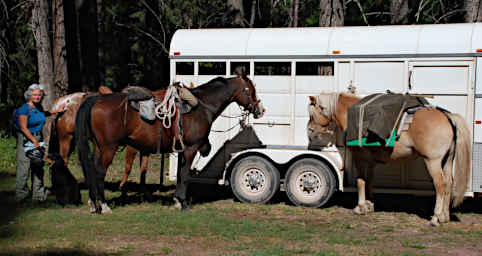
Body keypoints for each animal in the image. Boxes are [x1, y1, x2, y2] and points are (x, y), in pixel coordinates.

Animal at [75, 71, 266, 213]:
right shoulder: (191, 149)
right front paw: (183, 203)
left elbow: (181, 174)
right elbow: (186, 175)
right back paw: (104, 206)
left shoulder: (182, 149)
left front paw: (176, 200)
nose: (260, 110)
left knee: (92, 170)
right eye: (249, 89)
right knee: (100, 173)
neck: (201, 107)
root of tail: (96, 99)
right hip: (109, 148)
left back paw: (93, 204)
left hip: (99, 147)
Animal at [308, 93, 470, 225]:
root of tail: (448, 117)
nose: (310, 132)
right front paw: (370, 205)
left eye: (311, 114)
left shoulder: (360, 158)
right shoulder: (370, 161)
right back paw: (444, 216)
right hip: (447, 161)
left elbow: (360, 181)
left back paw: (436, 217)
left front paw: (360, 207)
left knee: (440, 185)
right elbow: (369, 181)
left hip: (433, 161)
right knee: (449, 183)